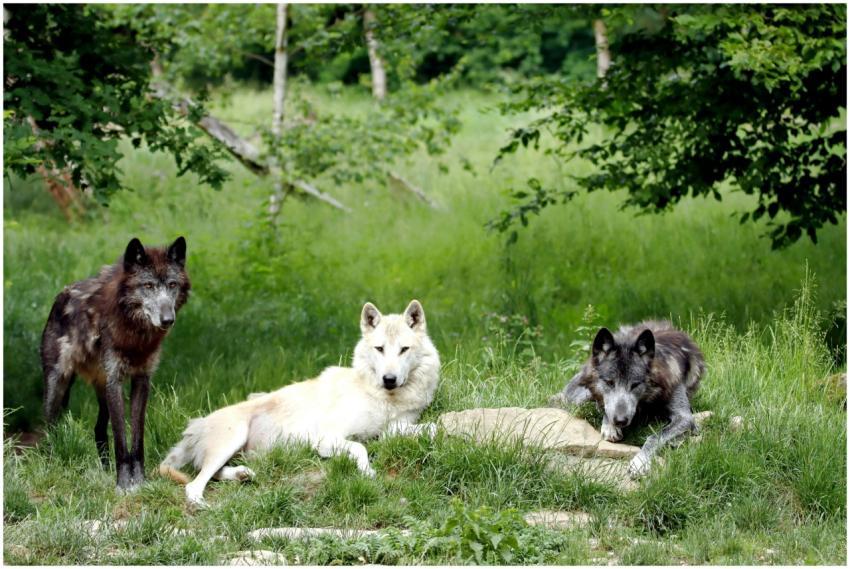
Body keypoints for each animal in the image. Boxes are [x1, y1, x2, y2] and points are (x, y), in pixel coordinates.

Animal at [40, 236, 190, 490]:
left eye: (172, 284)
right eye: (148, 286)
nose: (167, 320)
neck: (135, 335)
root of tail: (60, 297)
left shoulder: (141, 380)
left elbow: (137, 439)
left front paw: (139, 482)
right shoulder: (115, 381)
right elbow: (121, 440)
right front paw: (122, 485)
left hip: (101, 391)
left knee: (99, 429)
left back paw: (105, 471)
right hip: (57, 384)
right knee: (49, 427)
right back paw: (51, 467)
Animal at [159, 300, 440, 507]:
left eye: (403, 349)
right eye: (380, 349)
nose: (389, 379)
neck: (383, 398)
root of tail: (195, 426)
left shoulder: (394, 428)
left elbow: (429, 428)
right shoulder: (326, 439)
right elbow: (360, 447)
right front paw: (368, 472)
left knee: (211, 473)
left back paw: (242, 474)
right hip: (233, 437)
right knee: (193, 484)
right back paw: (202, 504)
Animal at [555, 320, 704, 477]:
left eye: (635, 384)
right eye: (609, 382)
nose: (620, 421)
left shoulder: (684, 417)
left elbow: (654, 436)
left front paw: (640, 461)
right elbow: (605, 406)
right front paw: (610, 427)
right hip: (580, 395)